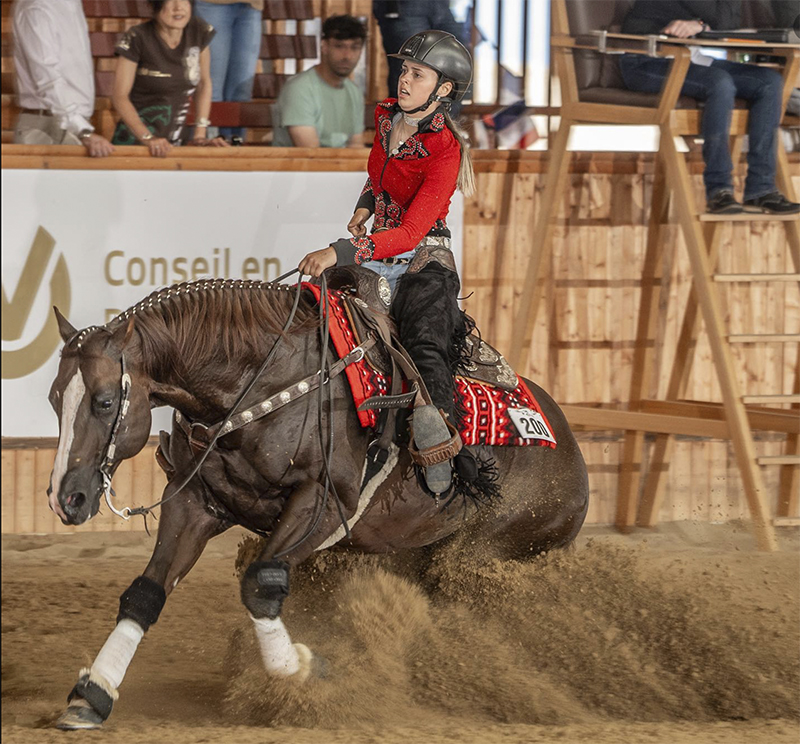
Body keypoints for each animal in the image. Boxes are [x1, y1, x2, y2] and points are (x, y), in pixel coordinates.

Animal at [50, 278, 588, 728]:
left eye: (103, 401)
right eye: (56, 399)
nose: (66, 497)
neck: (259, 382)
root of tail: (571, 449)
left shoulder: (324, 506)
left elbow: (259, 586)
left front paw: (303, 672)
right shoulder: (194, 503)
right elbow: (145, 593)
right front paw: (92, 695)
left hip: (487, 551)